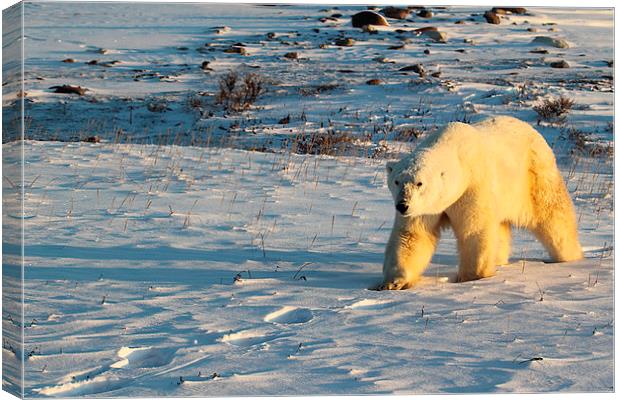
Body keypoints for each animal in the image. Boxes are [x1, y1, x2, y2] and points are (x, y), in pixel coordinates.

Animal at [380, 116, 584, 290]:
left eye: (419, 183)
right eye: (397, 181)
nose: (402, 205)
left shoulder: (473, 185)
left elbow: (474, 229)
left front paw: (473, 277)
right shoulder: (425, 207)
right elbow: (413, 235)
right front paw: (394, 282)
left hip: (534, 176)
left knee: (553, 217)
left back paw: (570, 257)